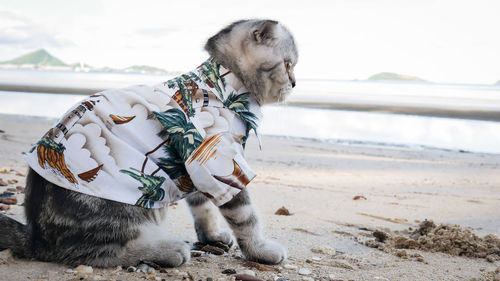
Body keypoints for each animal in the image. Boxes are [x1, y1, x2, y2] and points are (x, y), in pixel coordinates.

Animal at [0, 19, 296, 266]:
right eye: (288, 65)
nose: (294, 83)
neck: (223, 82)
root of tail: (37, 237)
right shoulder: (217, 161)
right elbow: (246, 217)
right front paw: (260, 250)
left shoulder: (194, 160)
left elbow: (203, 208)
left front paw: (212, 235)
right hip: (127, 209)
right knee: (92, 253)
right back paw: (165, 250)